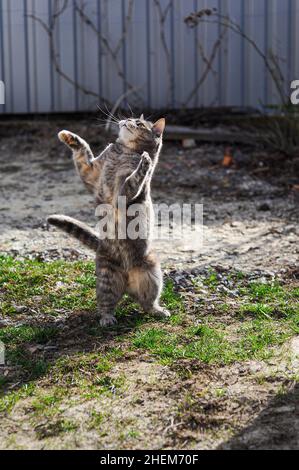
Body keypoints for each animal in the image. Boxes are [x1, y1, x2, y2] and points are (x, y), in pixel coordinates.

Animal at [47, 114, 170, 326]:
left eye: (138, 123)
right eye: (132, 118)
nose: (127, 119)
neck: (124, 151)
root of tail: (128, 284)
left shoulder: (124, 189)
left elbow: (133, 180)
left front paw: (145, 162)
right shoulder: (92, 171)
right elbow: (82, 152)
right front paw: (68, 137)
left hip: (152, 273)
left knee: (147, 303)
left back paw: (158, 311)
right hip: (107, 277)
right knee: (106, 305)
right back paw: (107, 319)